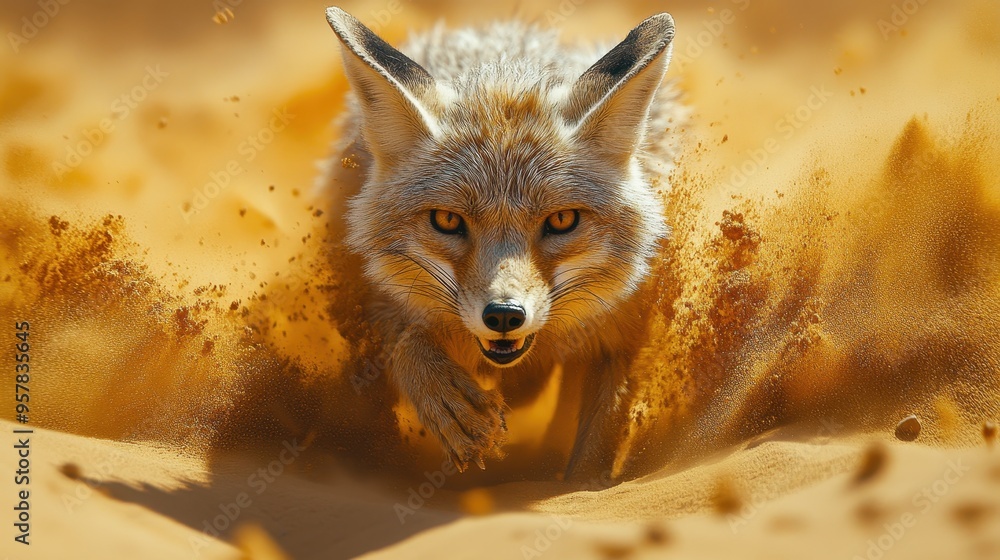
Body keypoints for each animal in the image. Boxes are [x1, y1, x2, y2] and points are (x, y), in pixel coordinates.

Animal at [320, 6, 683, 478]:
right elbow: (405, 343)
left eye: (562, 220)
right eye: (447, 220)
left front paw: (573, 487)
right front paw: (445, 398)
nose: (505, 315)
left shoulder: (624, 334)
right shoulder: (370, 289)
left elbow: (593, 456)